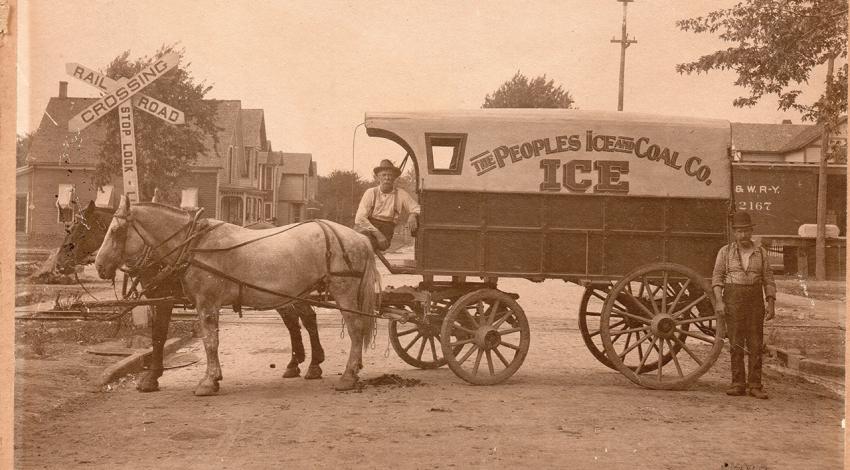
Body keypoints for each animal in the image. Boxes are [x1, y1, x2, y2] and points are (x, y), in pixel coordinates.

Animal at [92, 195, 378, 392]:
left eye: (115, 230)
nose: (99, 265)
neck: (196, 245)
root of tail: (359, 239)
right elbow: (197, 338)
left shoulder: (207, 303)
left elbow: (209, 341)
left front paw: (208, 382)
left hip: (344, 292)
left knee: (355, 329)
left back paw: (348, 376)